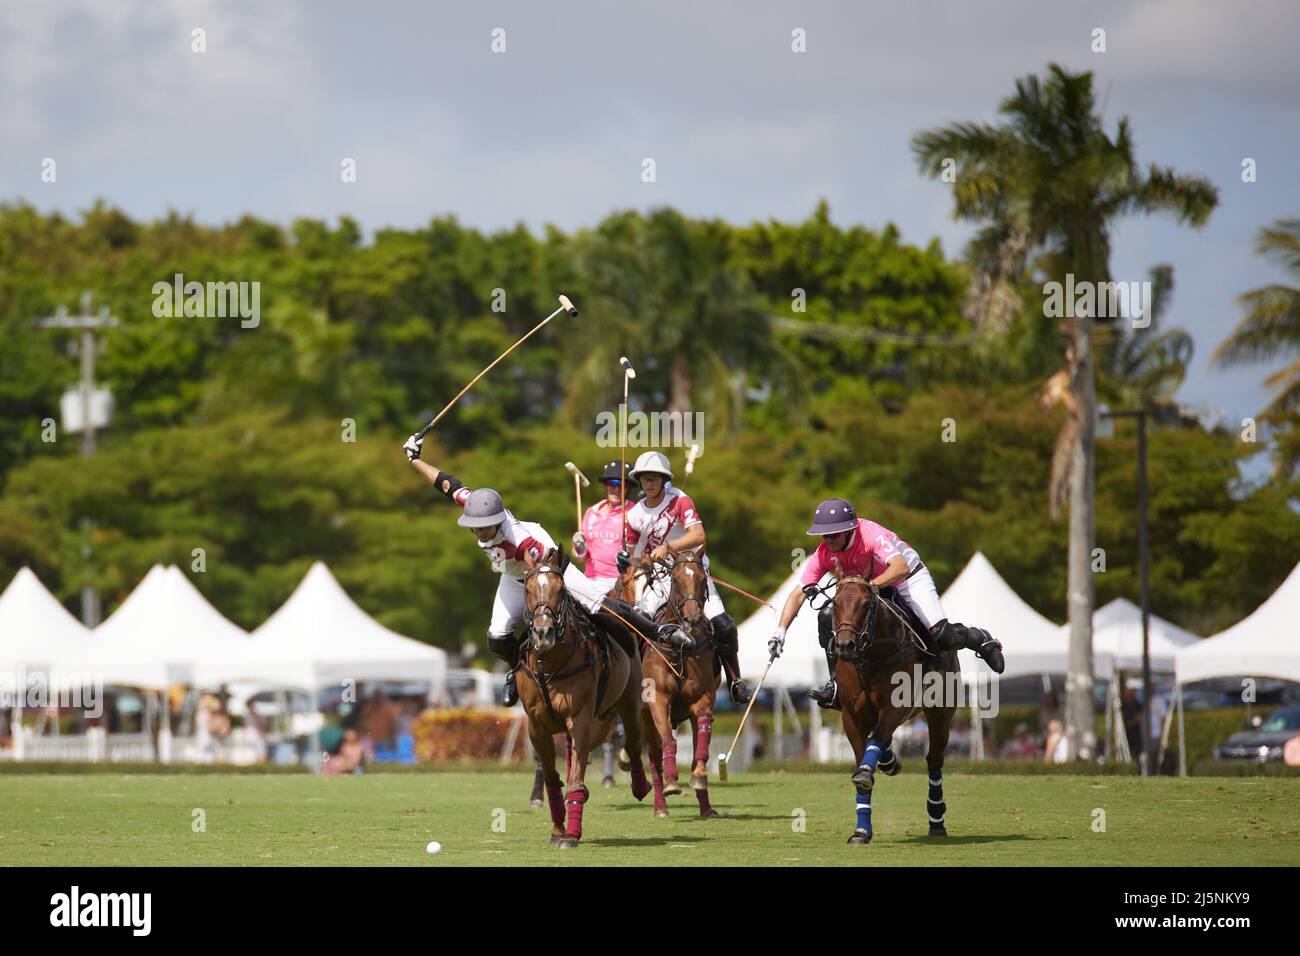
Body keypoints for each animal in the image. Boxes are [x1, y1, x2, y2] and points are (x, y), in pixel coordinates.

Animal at [517, 548, 650, 848]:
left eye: (561, 589)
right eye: (528, 589)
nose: (543, 633)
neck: (548, 664)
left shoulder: (580, 720)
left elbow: (576, 779)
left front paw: (571, 834)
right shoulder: (536, 726)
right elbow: (553, 779)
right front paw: (557, 828)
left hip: (629, 703)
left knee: (633, 742)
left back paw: (640, 784)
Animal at [637, 554, 722, 822]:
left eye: (703, 578)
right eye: (675, 578)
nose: (692, 619)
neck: (680, 646)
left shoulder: (702, 698)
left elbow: (701, 746)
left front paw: (699, 777)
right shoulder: (657, 699)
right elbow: (668, 741)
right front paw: (672, 782)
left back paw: (706, 808)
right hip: (644, 717)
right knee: (654, 759)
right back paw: (660, 806)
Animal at [826, 574, 961, 842]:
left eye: (867, 604)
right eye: (835, 603)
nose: (845, 645)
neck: (869, 658)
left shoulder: (896, 707)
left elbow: (878, 737)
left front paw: (866, 773)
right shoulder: (851, 716)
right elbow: (863, 755)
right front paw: (861, 831)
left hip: (940, 714)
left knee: (934, 759)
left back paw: (937, 819)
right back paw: (889, 762)